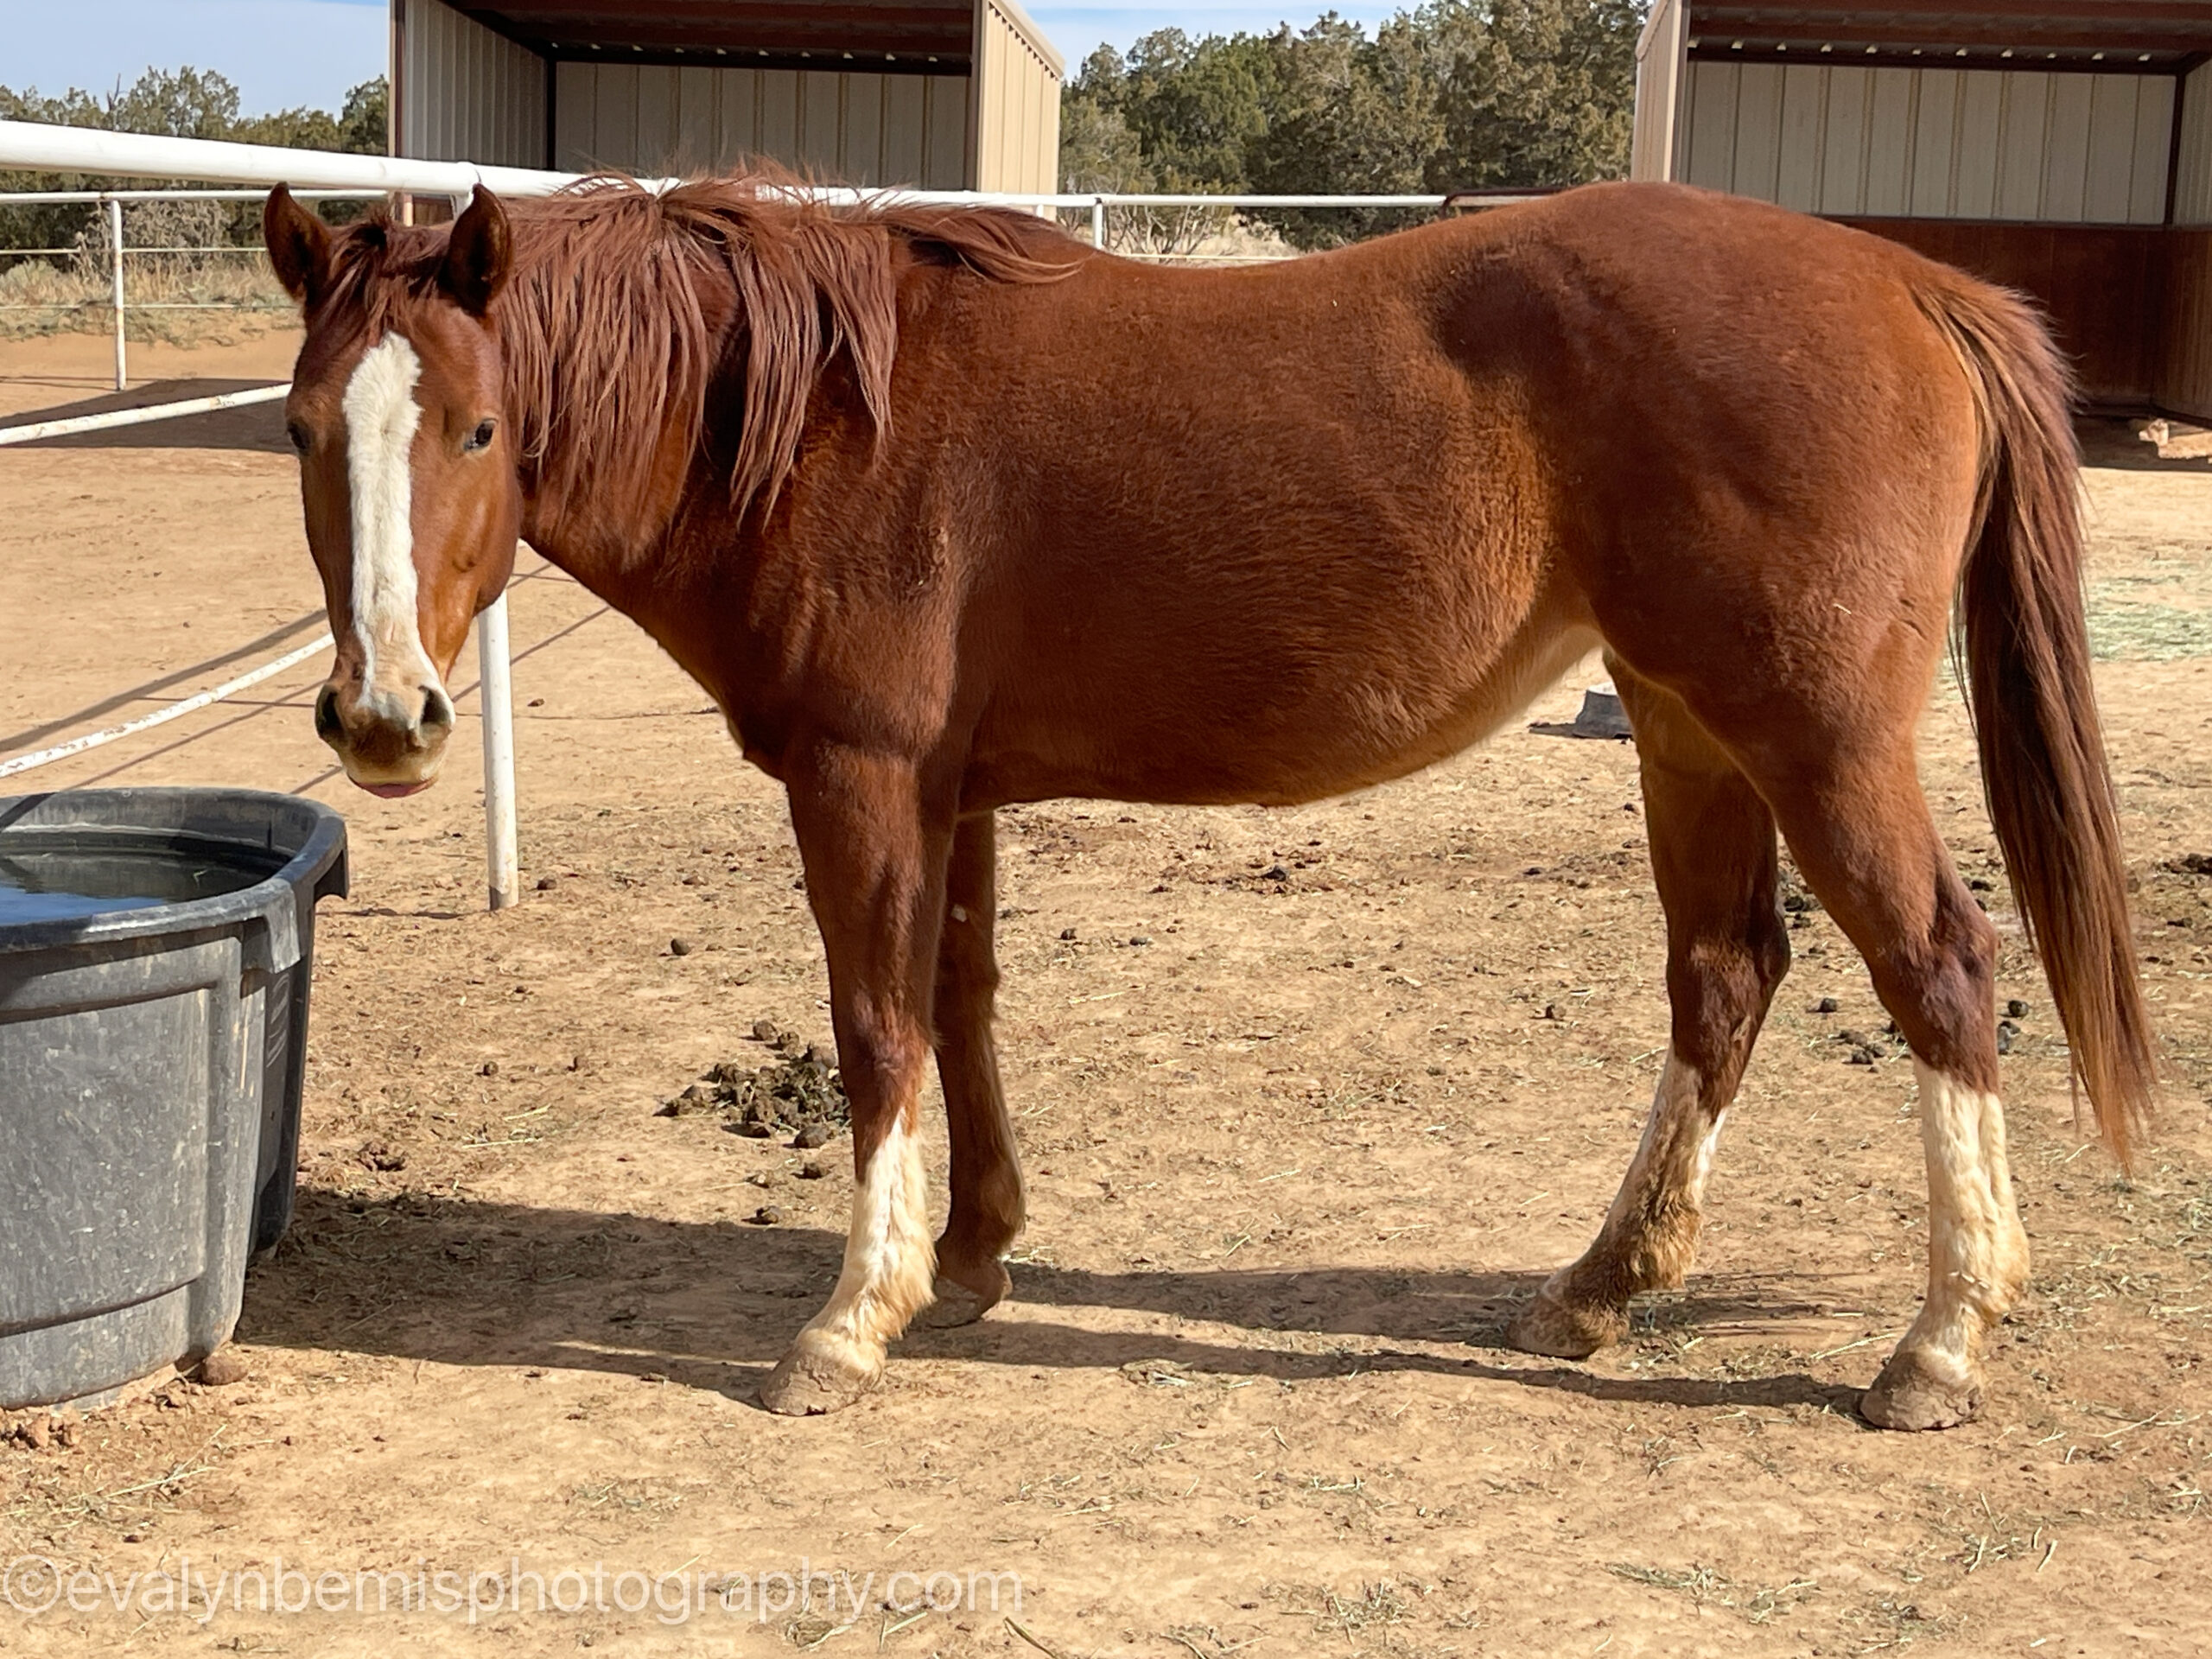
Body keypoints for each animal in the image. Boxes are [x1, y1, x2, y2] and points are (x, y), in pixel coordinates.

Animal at [261, 173, 2154, 1429]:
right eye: (300, 429)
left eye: (483, 428)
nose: (382, 716)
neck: (819, 420)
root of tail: (1907, 284)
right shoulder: (950, 790)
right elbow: (958, 1001)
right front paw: (971, 1256)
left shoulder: (864, 777)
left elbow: (874, 1026)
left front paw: (850, 1319)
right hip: (1689, 728)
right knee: (1724, 977)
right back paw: (1598, 1288)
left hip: (1812, 735)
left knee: (1939, 970)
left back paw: (1936, 1345)